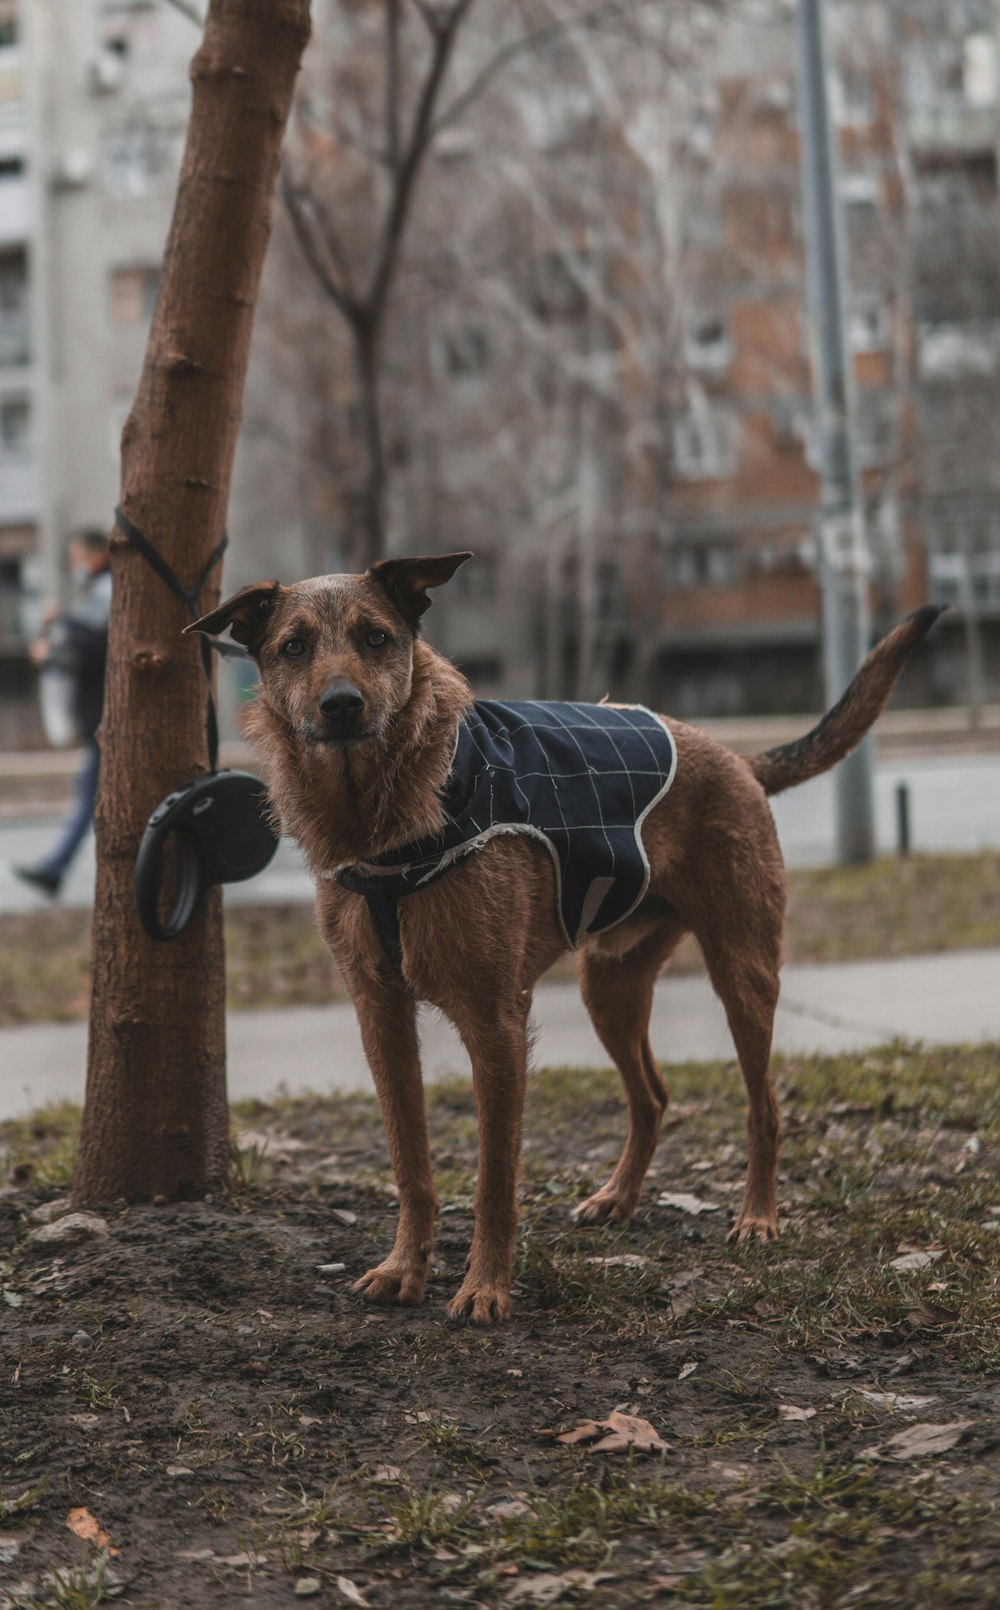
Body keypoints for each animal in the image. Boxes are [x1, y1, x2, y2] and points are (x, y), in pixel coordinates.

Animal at [189, 563, 946, 1320]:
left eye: (376, 637)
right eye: (293, 647)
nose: (341, 705)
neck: (387, 820)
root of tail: (735, 757)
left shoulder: (496, 1024)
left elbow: (495, 1179)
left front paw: (485, 1287)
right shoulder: (381, 1015)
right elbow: (411, 1163)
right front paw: (406, 1268)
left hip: (744, 975)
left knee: (765, 1109)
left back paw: (758, 1216)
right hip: (609, 988)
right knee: (653, 1097)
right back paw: (620, 1197)